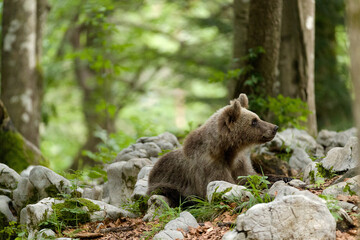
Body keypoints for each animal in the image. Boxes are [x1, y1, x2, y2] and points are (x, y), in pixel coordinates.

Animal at [146, 94, 278, 206]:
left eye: (257, 117)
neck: (227, 150)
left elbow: (254, 177)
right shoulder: (210, 167)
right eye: (254, 121)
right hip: (163, 183)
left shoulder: (240, 162)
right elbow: (225, 182)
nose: (274, 127)